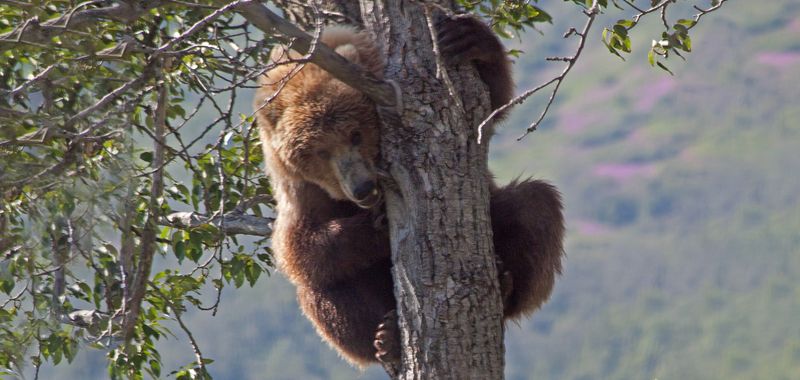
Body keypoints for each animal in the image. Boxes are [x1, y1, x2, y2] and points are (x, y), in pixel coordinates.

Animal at [255, 16, 564, 366]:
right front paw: (377, 224)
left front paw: (465, 36)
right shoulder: (300, 191)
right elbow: (299, 247)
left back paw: (506, 284)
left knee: (533, 204)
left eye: (355, 133)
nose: (362, 187)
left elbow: (490, 106)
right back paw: (384, 339)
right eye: (319, 151)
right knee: (324, 287)